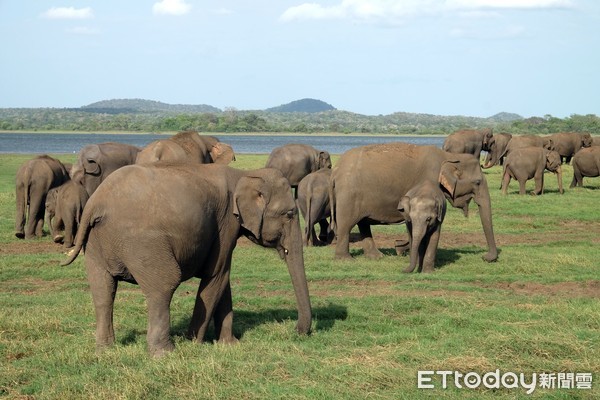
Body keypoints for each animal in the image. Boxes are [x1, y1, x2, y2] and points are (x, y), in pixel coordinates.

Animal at [61, 162, 312, 356]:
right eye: (290, 214)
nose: (296, 331)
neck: (244, 173)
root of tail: (96, 203)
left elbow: (224, 281)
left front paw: (229, 345)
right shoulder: (225, 225)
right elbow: (217, 276)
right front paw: (194, 342)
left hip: (96, 242)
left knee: (103, 290)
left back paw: (105, 349)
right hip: (141, 243)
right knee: (164, 285)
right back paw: (165, 353)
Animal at [330, 143, 500, 262]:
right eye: (478, 182)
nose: (485, 257)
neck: (449, 156)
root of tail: (335, 171)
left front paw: (400, 247)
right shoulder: (429, 180)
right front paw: (403, 248)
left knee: (363, 223)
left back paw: (377, 257)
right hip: (348, 196)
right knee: (347, 224)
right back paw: (346, 259)